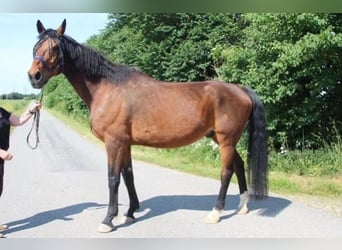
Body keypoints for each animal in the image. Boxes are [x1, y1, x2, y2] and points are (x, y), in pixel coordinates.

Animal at [27, 19, 268, 232]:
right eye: (36, 47)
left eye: (55, 48)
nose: (34, 76)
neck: (107, 88)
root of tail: (240, 90)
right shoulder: (125, 143)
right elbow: (128, 175)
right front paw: (130, 212)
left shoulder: (114, 142)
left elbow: (113, 179)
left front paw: (108, 220)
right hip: (222, 139)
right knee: (239, 165)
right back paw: (243, 206)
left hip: (226, 140)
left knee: (226, 172)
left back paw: (215, 213)